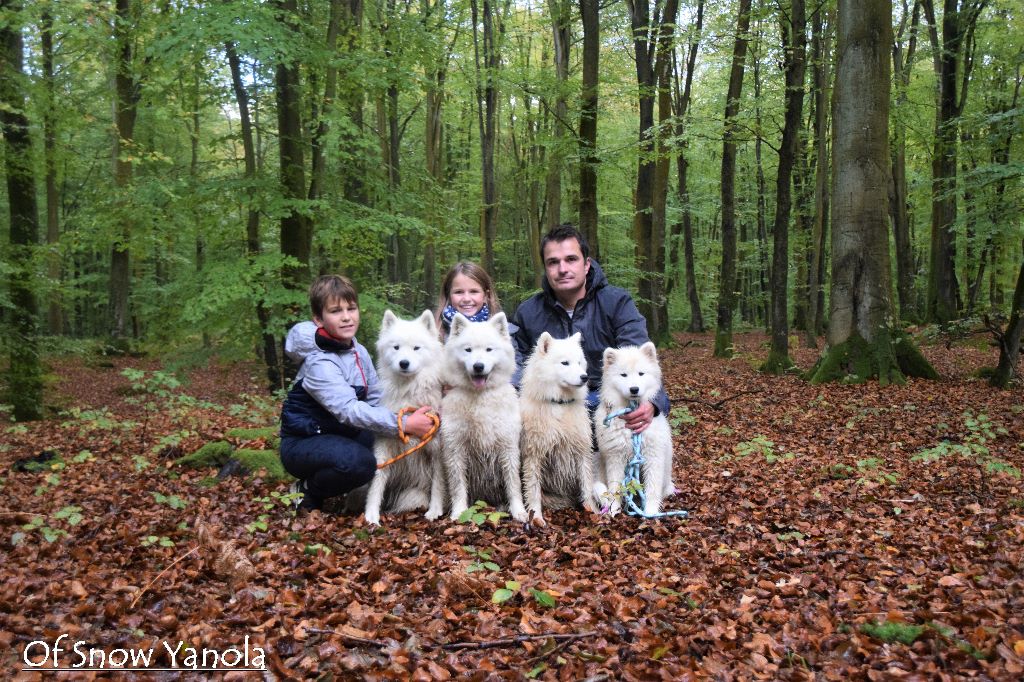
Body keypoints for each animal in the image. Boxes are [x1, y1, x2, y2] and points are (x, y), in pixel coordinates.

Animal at [366, 311, 450, 522]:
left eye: (416, 348)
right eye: (396, 347)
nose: (404, 363)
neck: (410, 391)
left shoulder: (437, 449)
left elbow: (438, 484)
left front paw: (434, 511)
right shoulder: (385, 445)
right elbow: (377, 480)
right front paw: (371, 514)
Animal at [440, 311, 528, 522]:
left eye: (489, 349)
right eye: (468, 350)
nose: (478, 366)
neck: (480, 398)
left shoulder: (508, 447)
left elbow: (513, 485)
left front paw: (518, 511)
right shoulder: (455, 449)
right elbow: (458, 486)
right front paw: (459, 512)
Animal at [520, 331, 598, 522]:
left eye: (579, 362)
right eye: (565, 363)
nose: (584, 377)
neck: (559, 404)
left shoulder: (581, 450)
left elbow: (586, 484)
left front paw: (593, 511)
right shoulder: (534, 454)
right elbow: (533, 490)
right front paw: (536, 517)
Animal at [593, 342, 671, 512]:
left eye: (641, 373)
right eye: (623, 375)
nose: (634, 389)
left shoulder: (652, 457)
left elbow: (652, 488)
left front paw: (650, 512)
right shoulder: (615, 457)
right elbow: (615, 487)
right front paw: (614, 510)